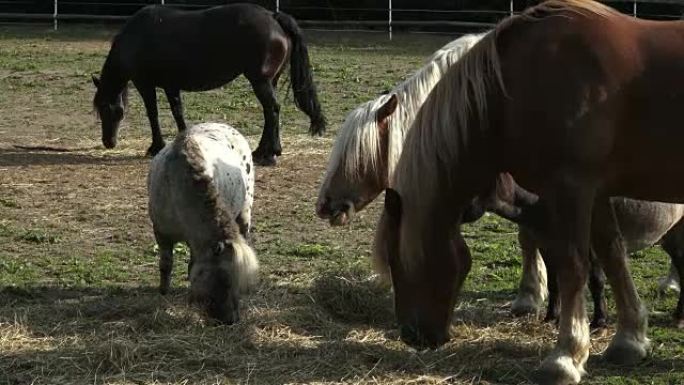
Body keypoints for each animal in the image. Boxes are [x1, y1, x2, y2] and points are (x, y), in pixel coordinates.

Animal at [93, 3, 326, 165]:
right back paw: (266, 151)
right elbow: (178, 112)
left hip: (260, 81)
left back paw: (267, 153)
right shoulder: (171, 85)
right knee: (271, 113)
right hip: (270, 82)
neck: (137, 37)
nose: (108, 142)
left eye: (109, 109)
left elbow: (153, 114)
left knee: (272, 110)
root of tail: (273, 17)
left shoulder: (145, 84)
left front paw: (155, 147)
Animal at [149, 121, 256, 322]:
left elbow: (191, 267)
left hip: (245, 213)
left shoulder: (195, 241)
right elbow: (166, 264)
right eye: (224, 278)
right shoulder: (161, 232)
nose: (232, 320)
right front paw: (163, 292)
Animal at [372, 1, 684, 382]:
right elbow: (613, 255)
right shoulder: (596, 192)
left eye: (396, 260)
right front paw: (629, 340)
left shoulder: (571, 188)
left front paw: (565, 357)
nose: (412, 335)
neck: (518, 84)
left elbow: (573, 266)